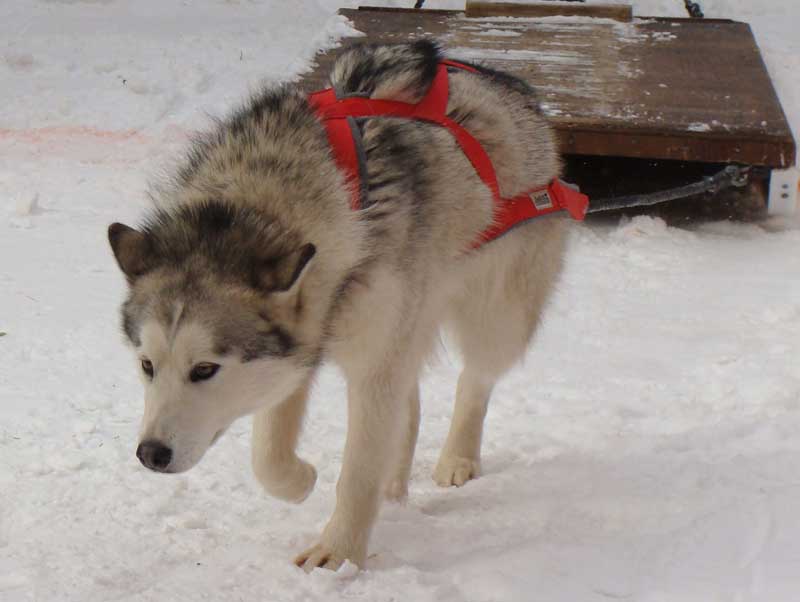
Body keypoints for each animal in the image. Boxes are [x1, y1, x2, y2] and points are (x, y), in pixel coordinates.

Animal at [108, 41, 568, 568]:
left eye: (204, 369)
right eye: (147, 365)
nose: (150, 454)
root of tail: (507, 82)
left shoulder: (370, 360)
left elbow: (357, 471)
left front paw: (339, 553)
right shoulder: (302, 347)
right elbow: (267, 455)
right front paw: (299, 481)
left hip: (494, 317)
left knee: (474, 379)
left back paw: (458, 458)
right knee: (410, 402)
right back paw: (395, 482)